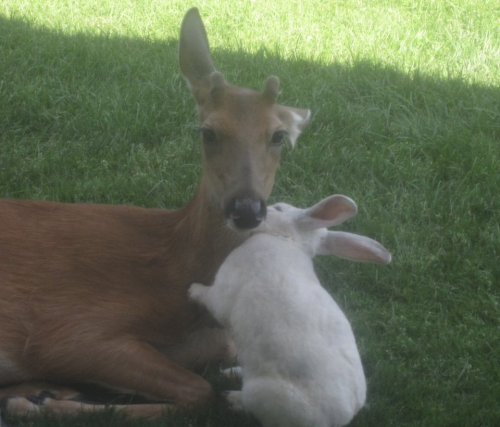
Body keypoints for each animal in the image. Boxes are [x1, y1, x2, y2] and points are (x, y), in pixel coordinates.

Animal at [0, 8, 308, 420]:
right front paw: (40, 402)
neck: (172, 268)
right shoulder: (66, 328)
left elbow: (214, 365)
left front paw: (39, 395)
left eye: (277, 135)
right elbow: (198, 392)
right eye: (207, 132)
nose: (246, 208)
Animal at [189, 195, 392, 427]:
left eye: (278, 209)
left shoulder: (222, 293)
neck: (286, 239)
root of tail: (337, 420)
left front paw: (192, 290)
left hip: (262, 395)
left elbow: (208, 297)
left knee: (249, 407)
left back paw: (231, 398)